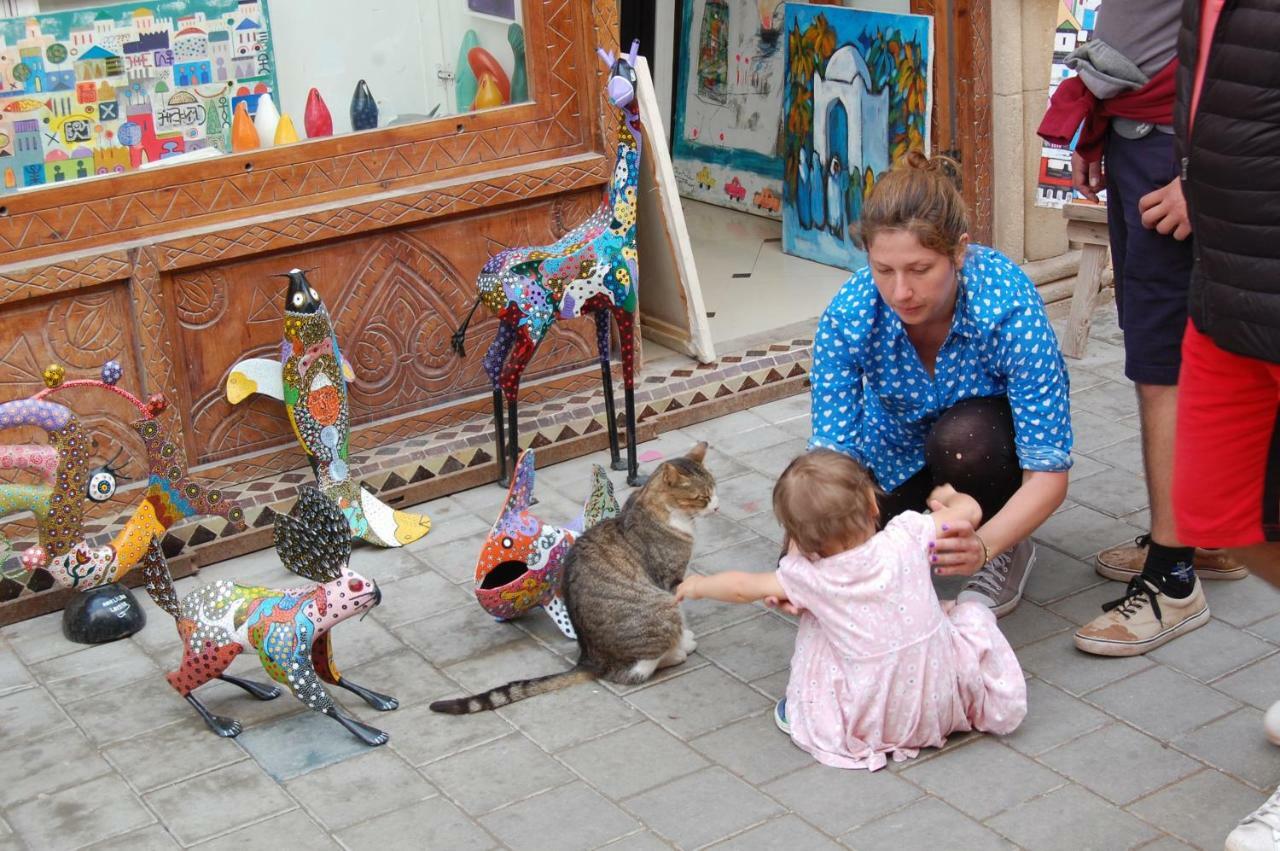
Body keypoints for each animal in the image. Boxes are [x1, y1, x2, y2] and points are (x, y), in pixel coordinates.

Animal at [424, 440, 716, 711]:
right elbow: (680, 612)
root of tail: (590, 660)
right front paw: (684, 639)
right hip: (658, 607)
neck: (657, 508)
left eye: (714, 489)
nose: (716, 507)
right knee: (636, 670)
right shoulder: (668, 580)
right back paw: (677, 652)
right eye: (702, 497)